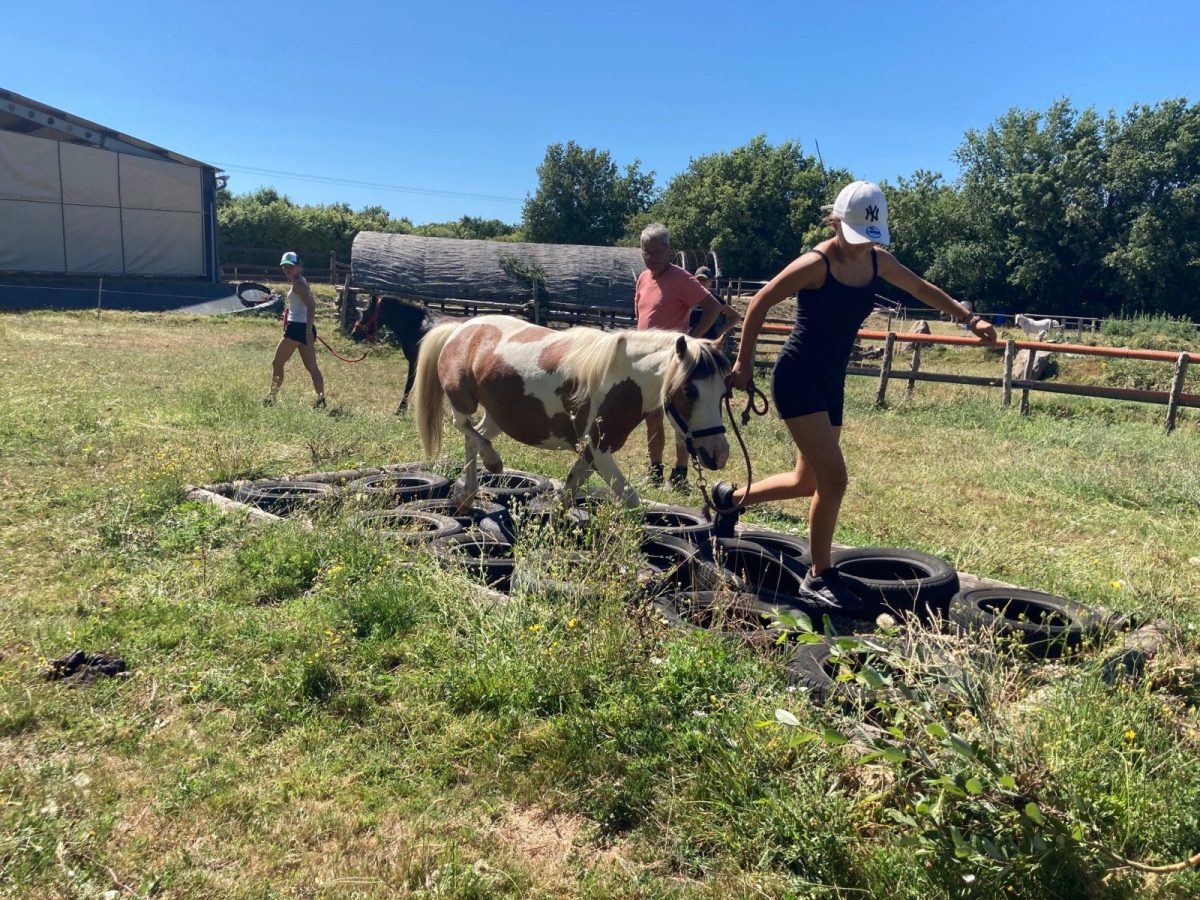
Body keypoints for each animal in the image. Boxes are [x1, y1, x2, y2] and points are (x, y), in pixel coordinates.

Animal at [412, 314, 729, 508]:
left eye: (724, 393)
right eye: (689, 391)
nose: (719, 453)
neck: (621, 378)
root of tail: (460, 329)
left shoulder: (590, 453)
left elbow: (568, 492)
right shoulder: (598, 450)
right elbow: (631, 501)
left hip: (498, 416)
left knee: (475, 436)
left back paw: (467, 494)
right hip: (463, 402)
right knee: (464, 427)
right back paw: (492, 463)